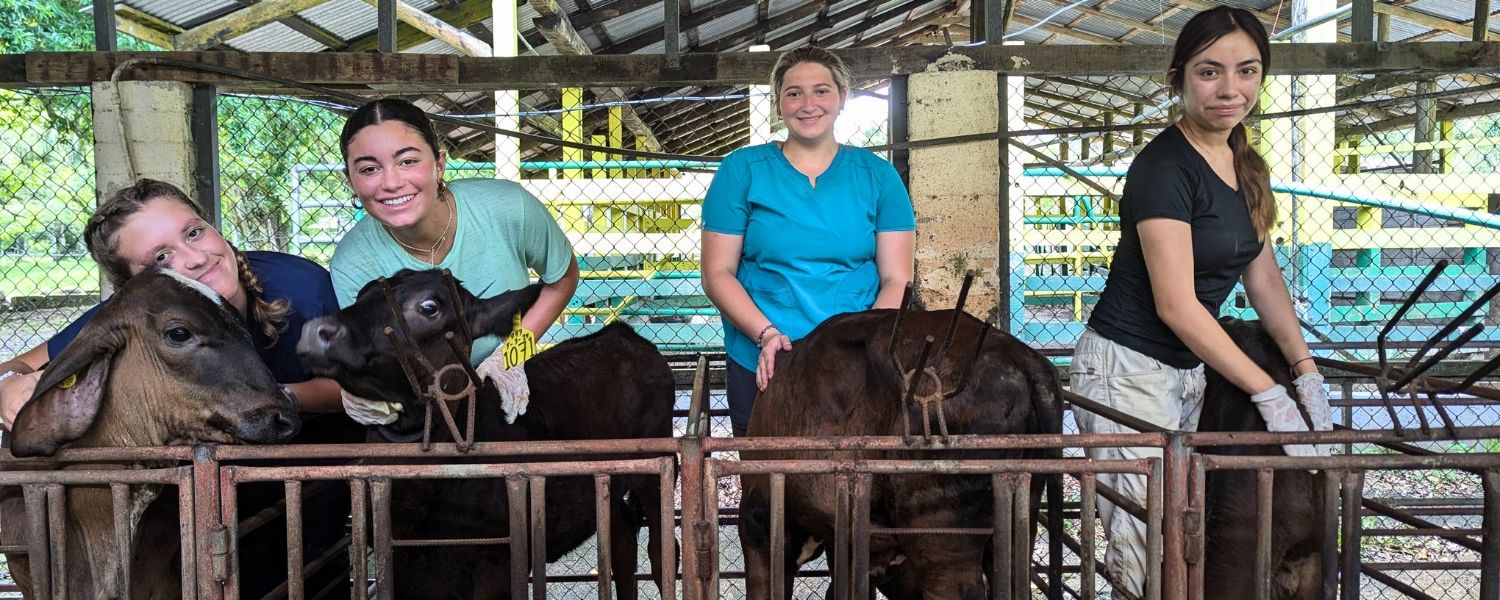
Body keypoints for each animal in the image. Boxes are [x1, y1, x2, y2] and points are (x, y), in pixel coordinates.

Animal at [298, 270, 675, 597]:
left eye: (429, 306)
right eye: (361, 294)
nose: (315, 331)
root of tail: (621, 333)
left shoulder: (496, 566)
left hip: (654, 466)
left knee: (660, 549)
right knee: (621, 540)